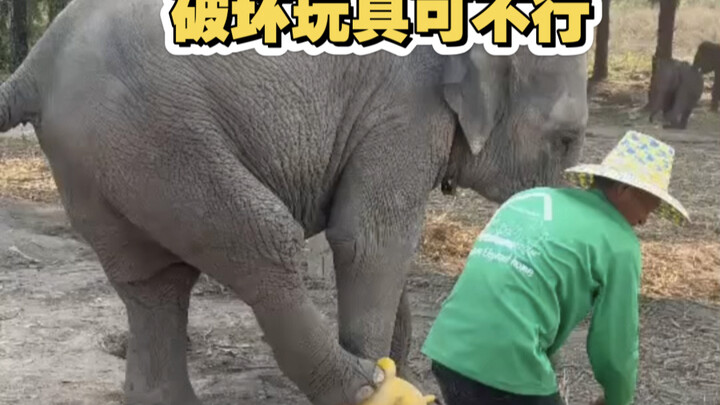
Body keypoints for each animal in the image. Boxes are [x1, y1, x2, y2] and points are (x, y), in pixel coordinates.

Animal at [0, 0, 589, 404]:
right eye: (565, 140)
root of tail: (36, 65)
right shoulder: (404, 109)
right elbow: (370, 240)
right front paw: (388, 377)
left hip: (103, 159)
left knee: (154, 284)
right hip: (157, 135)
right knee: (263, 240)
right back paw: (365, 389)